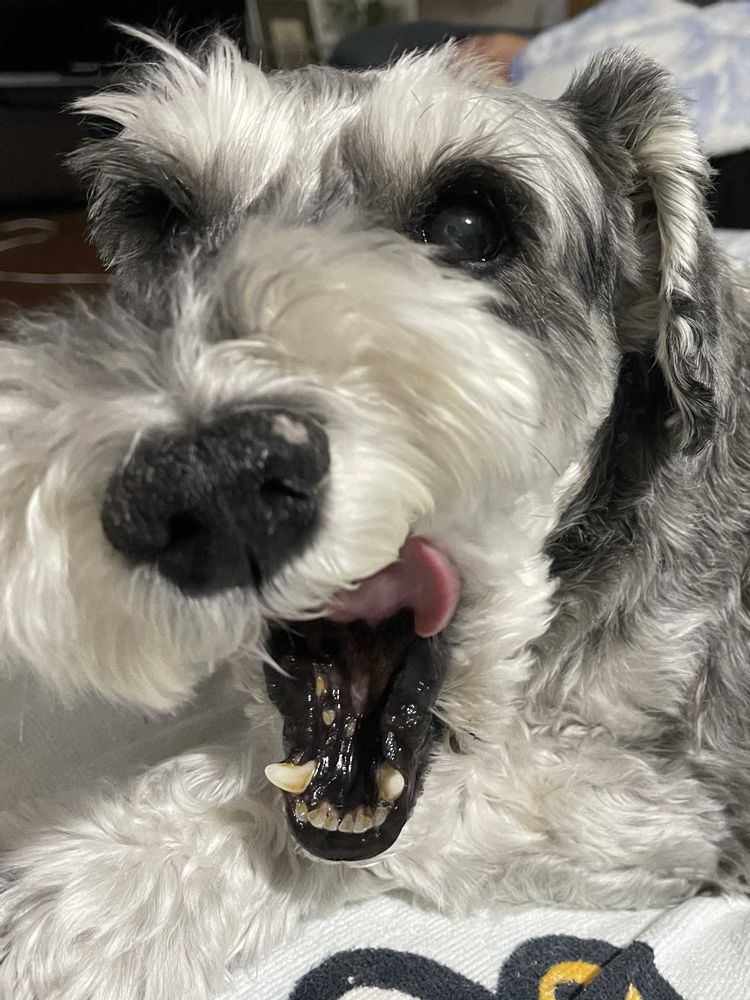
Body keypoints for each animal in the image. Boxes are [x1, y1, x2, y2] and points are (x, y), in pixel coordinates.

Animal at [1, 31, 749, 1000]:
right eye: (161, 216)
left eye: (469, 225)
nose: (209, 479)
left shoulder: (685, 806)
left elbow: (415, 807)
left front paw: (90, 886)